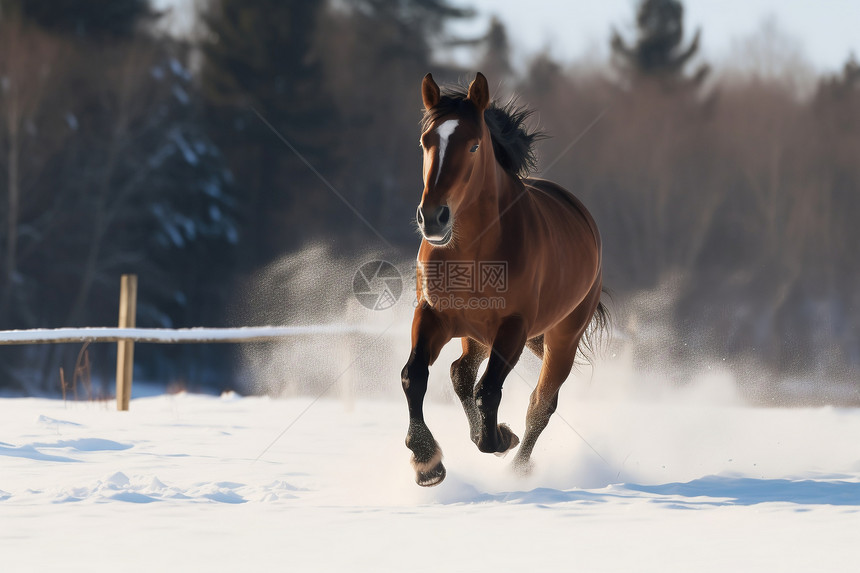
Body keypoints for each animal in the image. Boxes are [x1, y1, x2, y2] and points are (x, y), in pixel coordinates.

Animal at [402, 69, 608, 484]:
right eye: (425, 141)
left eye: (474, 146)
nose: (433, 218)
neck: (473, 252)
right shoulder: (432, 314)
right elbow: (414, 376)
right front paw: (427, 461)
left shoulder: (513, 326)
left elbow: (490, 391)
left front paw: (498, 438)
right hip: (474, 334)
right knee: (460, 373)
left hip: (561, 336)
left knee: (541, 404)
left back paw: (519, 466)